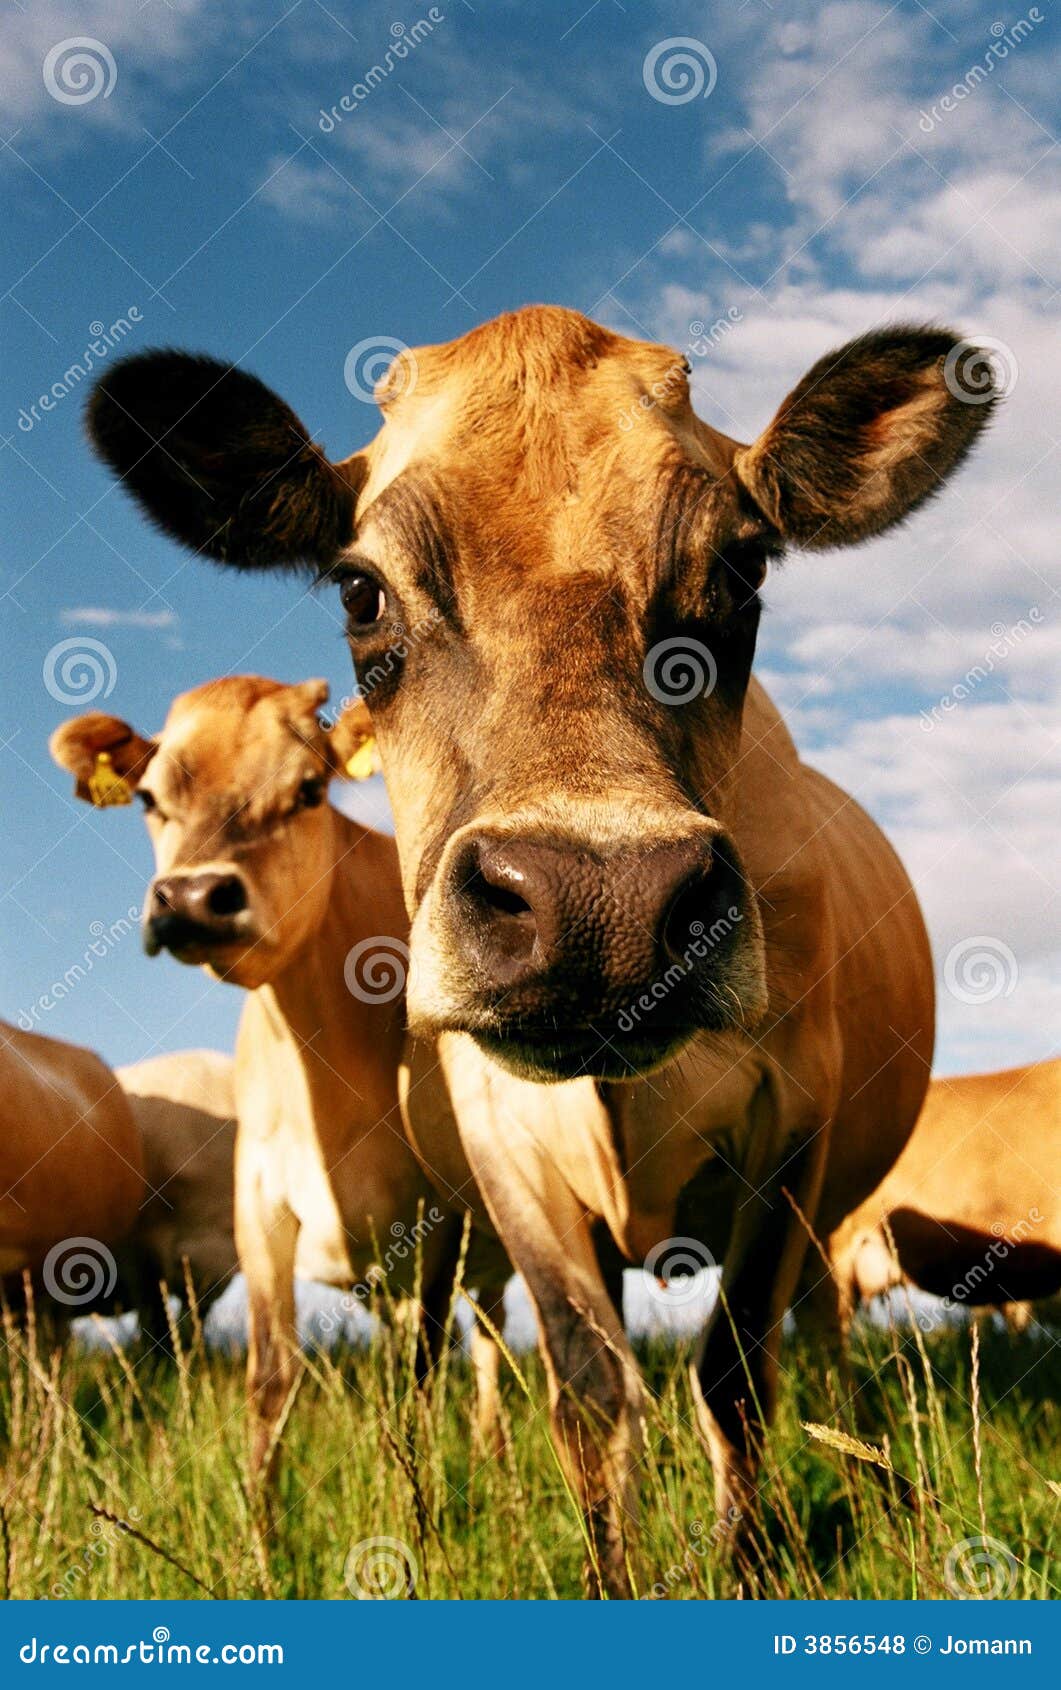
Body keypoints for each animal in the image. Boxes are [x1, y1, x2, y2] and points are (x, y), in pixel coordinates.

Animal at [51, 679, 508, 1472]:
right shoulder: (259, 1202)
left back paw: (496, 1452)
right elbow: (271, 1380)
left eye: (308, 790)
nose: (193, 897)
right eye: (149, 798)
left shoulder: (444, 1208)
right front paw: (259, 1509)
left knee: (495, 1339)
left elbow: (423, 1375)